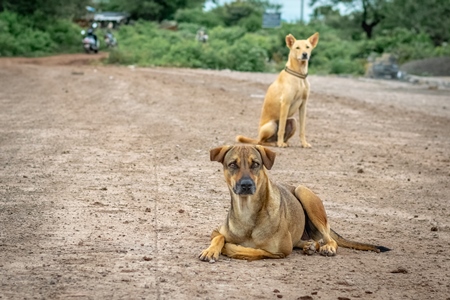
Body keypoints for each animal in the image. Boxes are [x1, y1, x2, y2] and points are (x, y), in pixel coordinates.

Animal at [199, 144, 388, 262]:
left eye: (255, 164)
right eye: (232, 164)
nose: (246, 184)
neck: (247, 211)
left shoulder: (281, 250)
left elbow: (253, 250)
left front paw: (230, 249)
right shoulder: (216, 231)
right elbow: (220, 237)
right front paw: (211, 250)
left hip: (303, 192)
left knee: (329, 238)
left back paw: (326, 247)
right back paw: (310, 245)